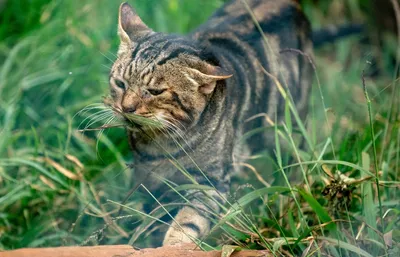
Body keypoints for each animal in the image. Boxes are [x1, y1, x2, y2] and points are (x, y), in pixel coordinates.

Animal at [108, 0, 314, 244]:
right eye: (120, 84)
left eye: (155, 92)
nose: (126, 107)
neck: (163, 145)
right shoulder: (149, 183)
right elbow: (153, 221)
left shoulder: (210, 183)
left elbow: (189, 221)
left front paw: (173, 244)